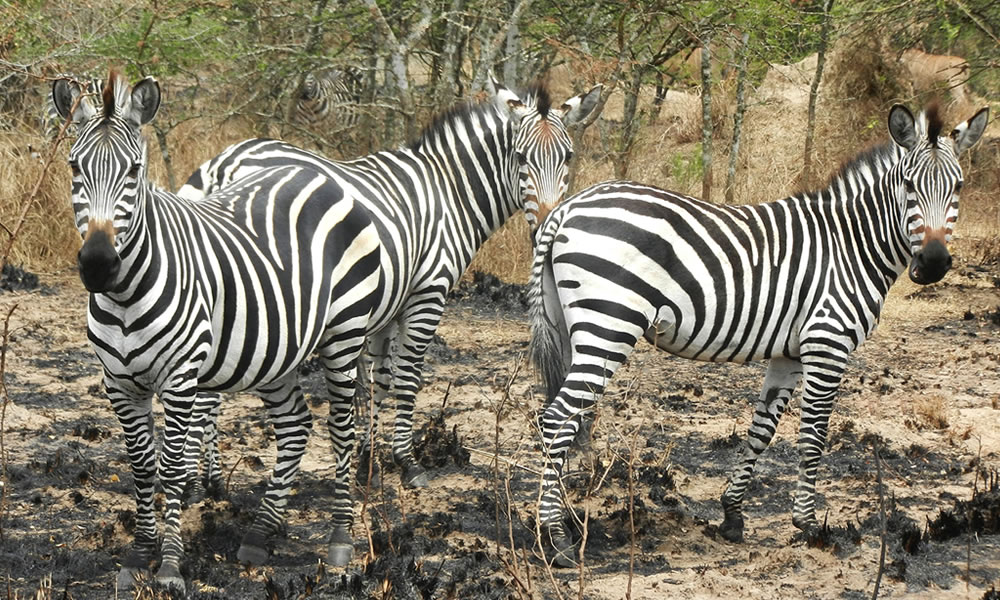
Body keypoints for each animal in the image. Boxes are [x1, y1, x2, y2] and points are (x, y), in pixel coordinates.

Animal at [52, 71, 384, 592]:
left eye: (135, 171)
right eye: (74, 167)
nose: (100, 264)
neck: (124, 296)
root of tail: (317, 171)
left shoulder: (180, 377)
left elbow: (170, 468)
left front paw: (169, 567)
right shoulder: (118, 383)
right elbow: (142, 468)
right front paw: (137, 556)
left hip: (345, 333)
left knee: (341, 428)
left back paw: (340, 540)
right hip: (277, 348)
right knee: (296, 425)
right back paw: (259, 535)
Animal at [179, 78, 600, 492]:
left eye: (568, 156)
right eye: (520, 157)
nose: (546, 226)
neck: (448, 192)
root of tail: (224, 163)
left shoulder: (387, 302)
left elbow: (380, 378)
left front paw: (369, 461)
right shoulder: (428, 292)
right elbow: (408, 375)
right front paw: (407, 462)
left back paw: (208, 479)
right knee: (206, 396)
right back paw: (202, 484)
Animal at [528, 103, 988, 568]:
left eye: (958, 187)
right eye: (909, 185)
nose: (933, 263)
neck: (851, 245)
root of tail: (566, 209)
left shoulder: (790, 353)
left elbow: (761, 429)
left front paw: (732, 514)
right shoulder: (828, 342)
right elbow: (813, 437)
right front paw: (807, 525)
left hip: (573, 326)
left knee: (562, 415)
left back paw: (565, 522)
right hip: (610, 324)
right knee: (556, 417)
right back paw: (556, 538)